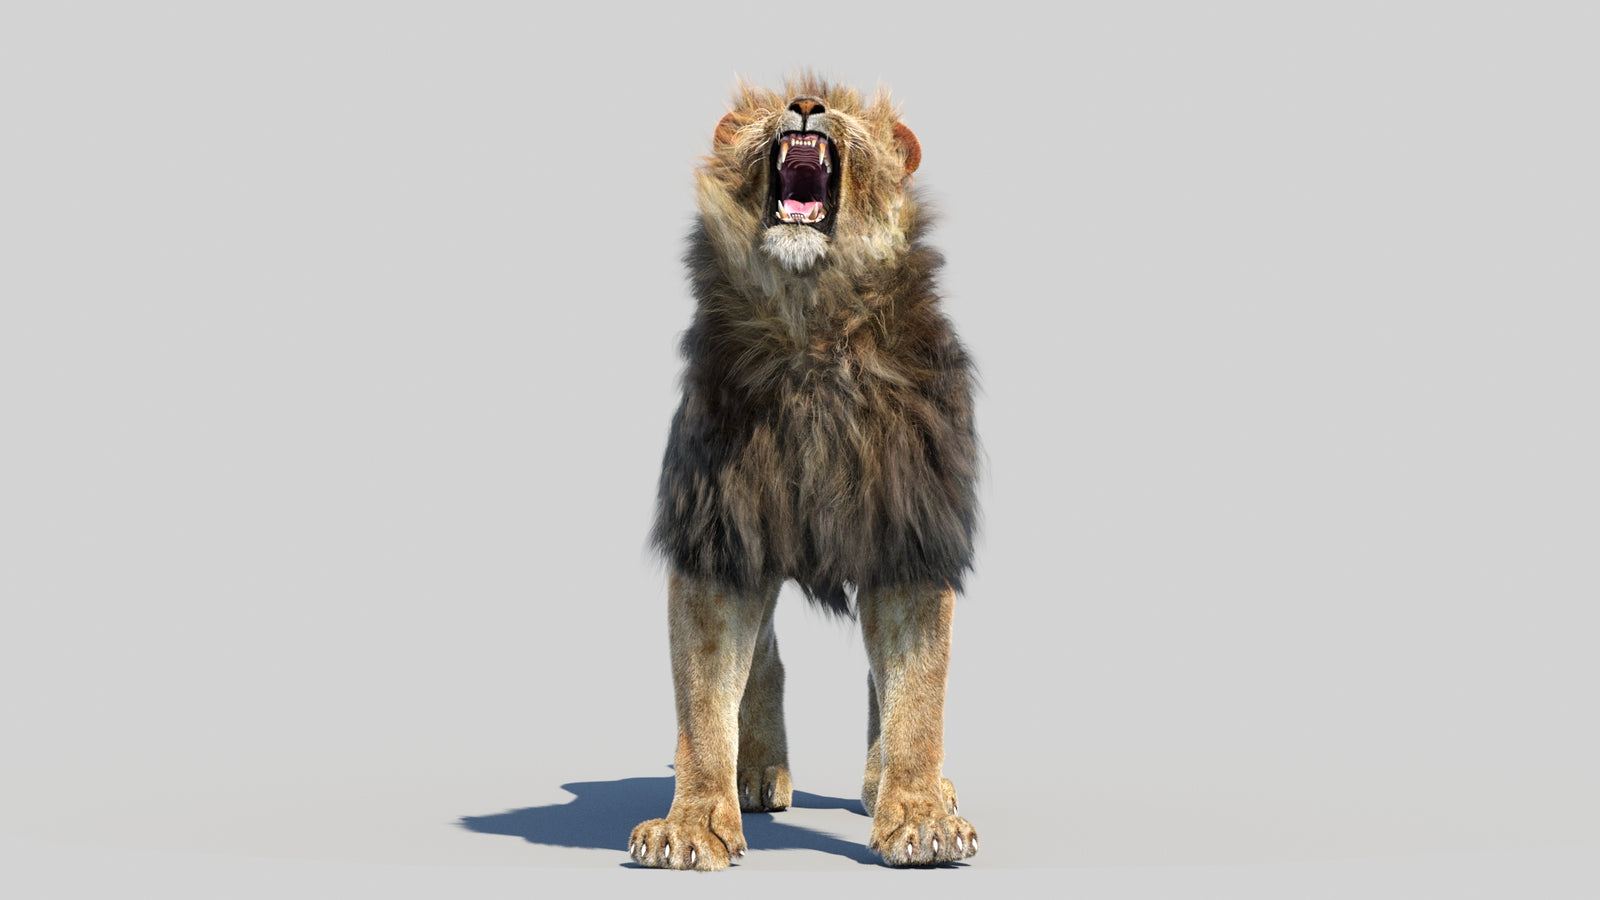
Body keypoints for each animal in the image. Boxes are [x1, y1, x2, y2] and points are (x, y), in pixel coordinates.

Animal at [628, 76, 980, 870]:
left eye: (843, 105)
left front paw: (919, 817)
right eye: (768, 105)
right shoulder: (719, 534)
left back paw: (892, 786)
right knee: (762, 660)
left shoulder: (909, 533)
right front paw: (692, 823)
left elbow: (917, 691)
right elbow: (704, 696)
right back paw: (756, 772)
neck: (812, 321)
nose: (808, 105)